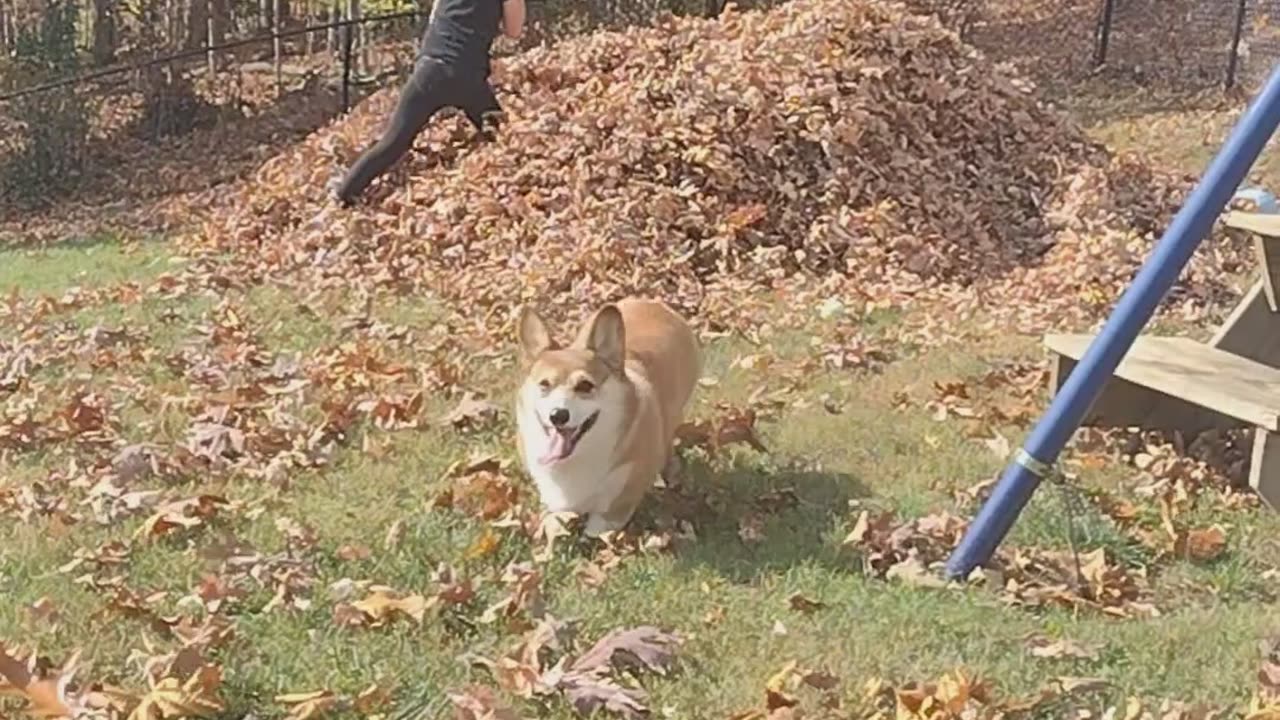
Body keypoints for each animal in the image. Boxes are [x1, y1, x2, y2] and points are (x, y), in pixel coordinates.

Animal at [514, 295, 706, 532]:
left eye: (585, 386)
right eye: (544, 384)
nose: (558, 415)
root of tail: (654, 303)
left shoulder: (617, 505)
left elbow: (598, 527)